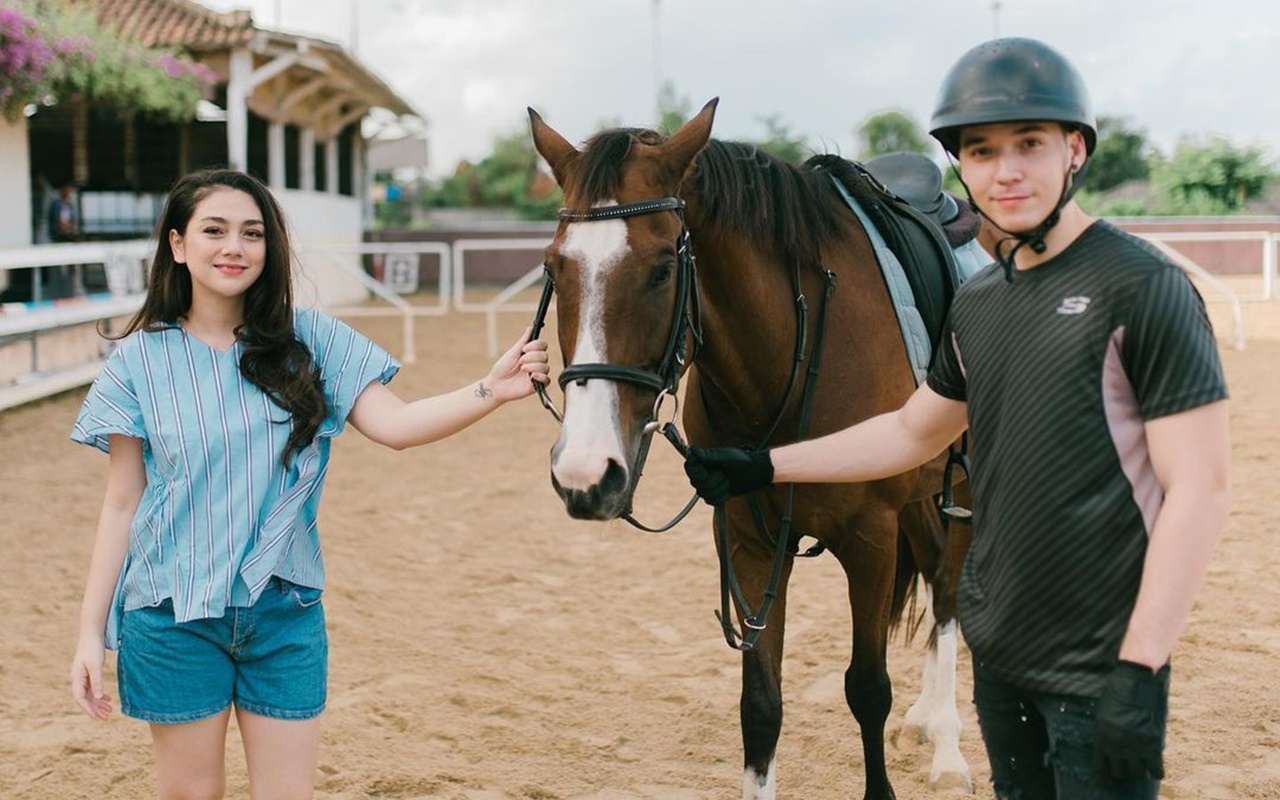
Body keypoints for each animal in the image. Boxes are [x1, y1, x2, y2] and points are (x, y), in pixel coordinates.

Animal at [529, 99, 967, 798]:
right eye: (553, 268)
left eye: (663, 268)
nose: (585, 473)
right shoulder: (746, 537)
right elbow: (760, 709)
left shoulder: (870, 536)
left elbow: (867, 690)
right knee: (931, 575)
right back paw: (926, 718)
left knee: (948, 591)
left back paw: (949, 749)